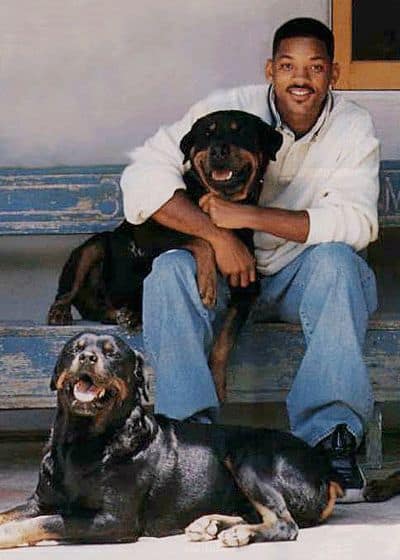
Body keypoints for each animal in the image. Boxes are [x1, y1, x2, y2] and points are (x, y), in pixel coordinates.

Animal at [0, 332, 344, 548]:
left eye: (112, 354)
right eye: (75, 348)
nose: (86, 357)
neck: (82, 441)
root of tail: (327, 472)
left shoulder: (114, 519)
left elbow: (45, 522)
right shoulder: (40, 501)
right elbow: (14, 514)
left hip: (248, 457)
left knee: (284, 522)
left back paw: (238, 534)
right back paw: (211, 524)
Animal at [47, 110, 282, 398]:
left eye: (241, 131)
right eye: (207, 133)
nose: (218, 149)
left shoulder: (247, 290)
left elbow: (223, 344)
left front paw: (217, 382)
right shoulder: (150, 234)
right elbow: (202, 239)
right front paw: (207, 282)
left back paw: (126, 313)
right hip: (94, 246)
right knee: (71, 288)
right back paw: (64, 310)